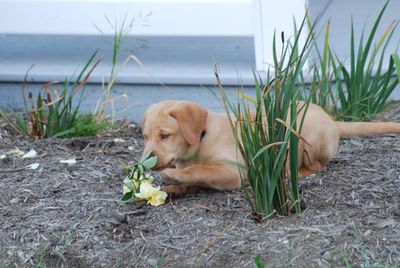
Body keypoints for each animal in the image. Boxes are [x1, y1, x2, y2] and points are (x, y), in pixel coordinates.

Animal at [141, 100, 400, 195]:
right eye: (144, 137)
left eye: (165, 135)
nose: (144, 162)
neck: (202, 137)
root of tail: (332, 121)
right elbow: (196, 177)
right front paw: (175, 187)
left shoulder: (233, 172)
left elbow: (201, 170)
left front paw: (175, 176)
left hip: (303, 132)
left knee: (316, 166)